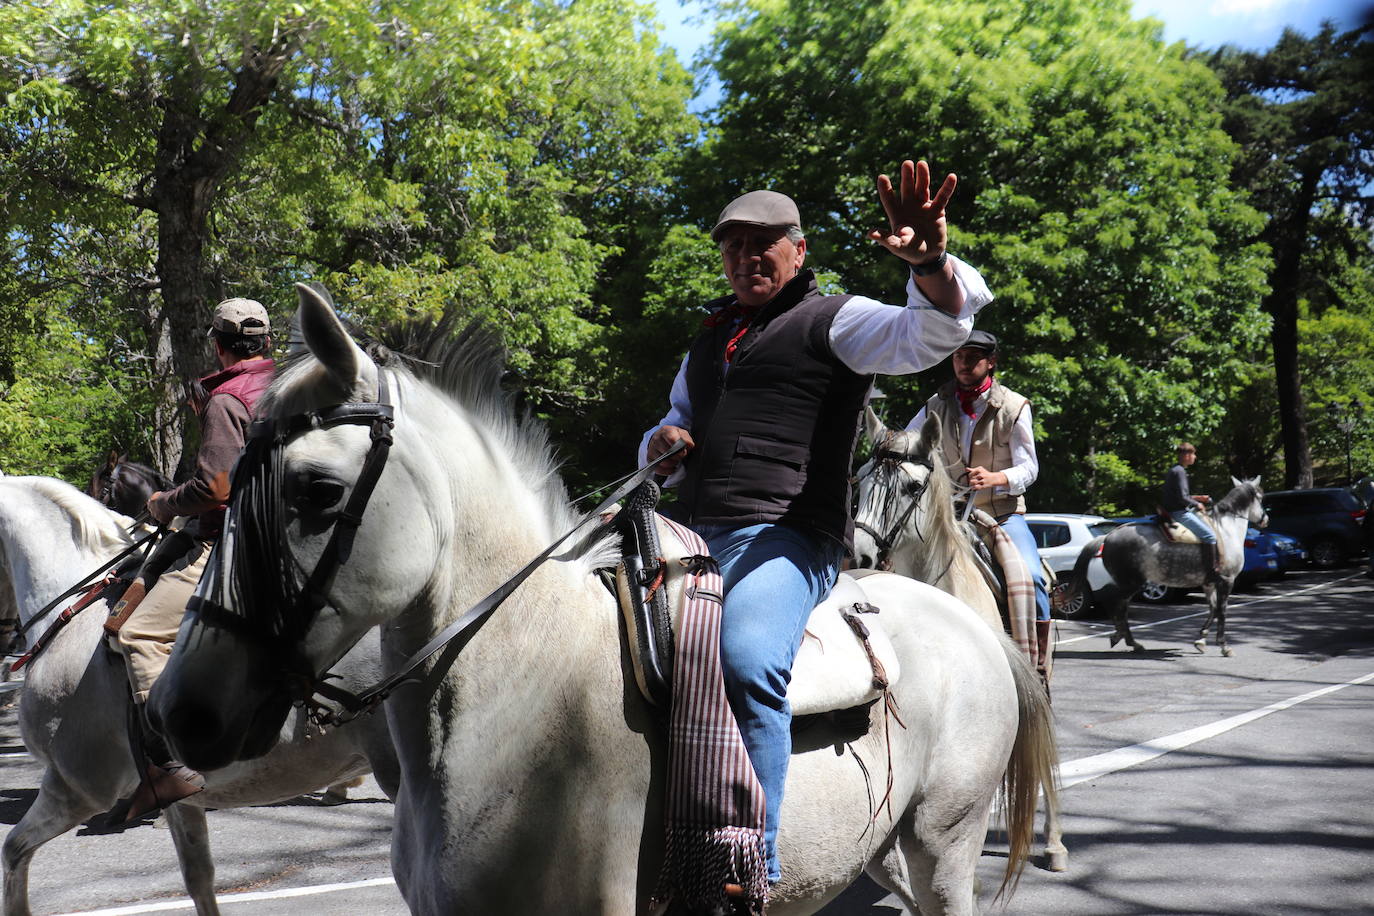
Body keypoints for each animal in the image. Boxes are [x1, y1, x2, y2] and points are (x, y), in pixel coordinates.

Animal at [1060, 477, 1264, 656]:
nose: (1266, 519)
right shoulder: (1226, 581)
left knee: (1118, 607)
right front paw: (1224, 646)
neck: (1225, 532)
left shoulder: (1209, 583)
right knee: (1116, 605)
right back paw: (1129, 641)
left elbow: (1213, 609)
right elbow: (1222, 611)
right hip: (1131, 583)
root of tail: (1107, 537)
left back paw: (1125, 639)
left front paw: (1201, 640)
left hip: (1127, 583)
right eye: (1261, 498)